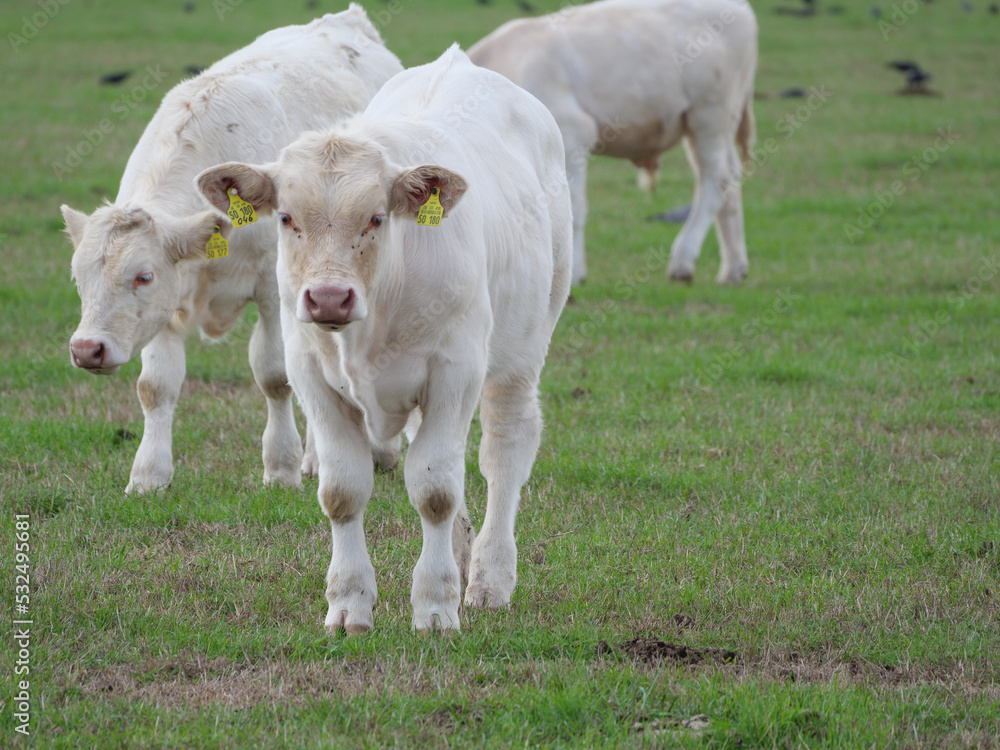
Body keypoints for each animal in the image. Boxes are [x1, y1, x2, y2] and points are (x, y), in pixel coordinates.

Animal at [58, 10, 400, 500]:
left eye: (142, 276)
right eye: (79, 279)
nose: (88, 349)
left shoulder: (275, 293)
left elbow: (275, 376)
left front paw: (282, 467)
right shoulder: (169, 305)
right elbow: (155, 386)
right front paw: (149, 474)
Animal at [196, 45, 572, 636]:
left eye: (376, 217)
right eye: (286, 217)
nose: (329, 298)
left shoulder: (455, 372)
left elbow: (436, 492)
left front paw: (436, 606)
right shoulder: (312, 375)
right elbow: (343, 490)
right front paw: (349, 603)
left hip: (520, 357)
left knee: (505, 451)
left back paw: (490, 577)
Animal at [468, 0, 756, 286]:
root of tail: (741, 9)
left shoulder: (573, 134)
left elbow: (572, 210)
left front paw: (573, 275)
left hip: (710, 115)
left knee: (716, 179)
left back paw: (683, 261)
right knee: (730, 177)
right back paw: (733, 268)